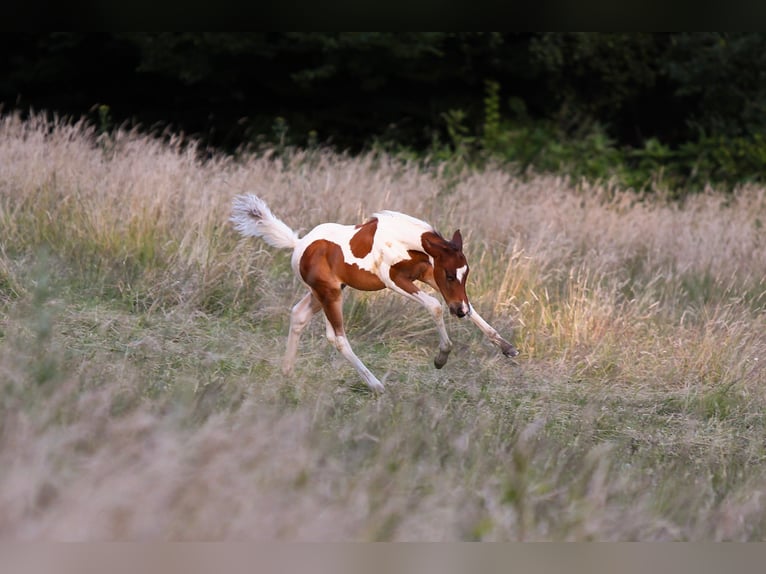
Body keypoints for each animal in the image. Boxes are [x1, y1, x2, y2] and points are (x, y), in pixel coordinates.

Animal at [231, 196, 520, 394]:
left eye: (465, 274)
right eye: (449, 275)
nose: (458, 312)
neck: (402, 241)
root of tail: (299, 244)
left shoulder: (427, 274)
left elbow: (470, 307)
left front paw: (507, 347)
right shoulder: (394, 280)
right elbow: (435, 305)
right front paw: (441, 357)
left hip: (323, 292)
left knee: (299, 316)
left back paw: (287, 372)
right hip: (329, 293)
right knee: (337, 338)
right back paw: (376, 385)